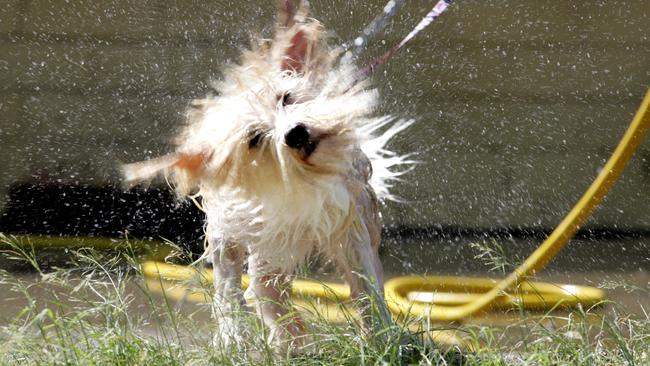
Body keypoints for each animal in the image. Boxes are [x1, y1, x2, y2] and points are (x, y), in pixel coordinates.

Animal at [123, 1, 410, 354]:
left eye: (286, 97)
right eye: (256, 138)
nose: (296, 133)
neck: (302, 183)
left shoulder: (349, 225)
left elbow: (365, 283)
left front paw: (382, 337)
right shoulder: (254, 237)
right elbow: (248, 289)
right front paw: (265, 336)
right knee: (246, 286)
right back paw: (263, 336)